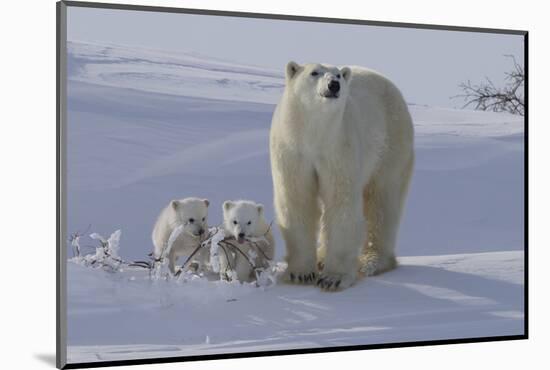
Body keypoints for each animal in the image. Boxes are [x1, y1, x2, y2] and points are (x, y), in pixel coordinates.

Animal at [272, 61, 414, 292]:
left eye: (337, 74)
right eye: (314, 72)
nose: (334, 85)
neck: (314, 134)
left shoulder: (338, 148)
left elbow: (341, 202)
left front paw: (333, 278)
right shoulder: (292, 150)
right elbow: (297, 199)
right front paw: (300, 273)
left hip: (391, 142)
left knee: (383, 200)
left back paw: (372, 261)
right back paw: (321, 257)